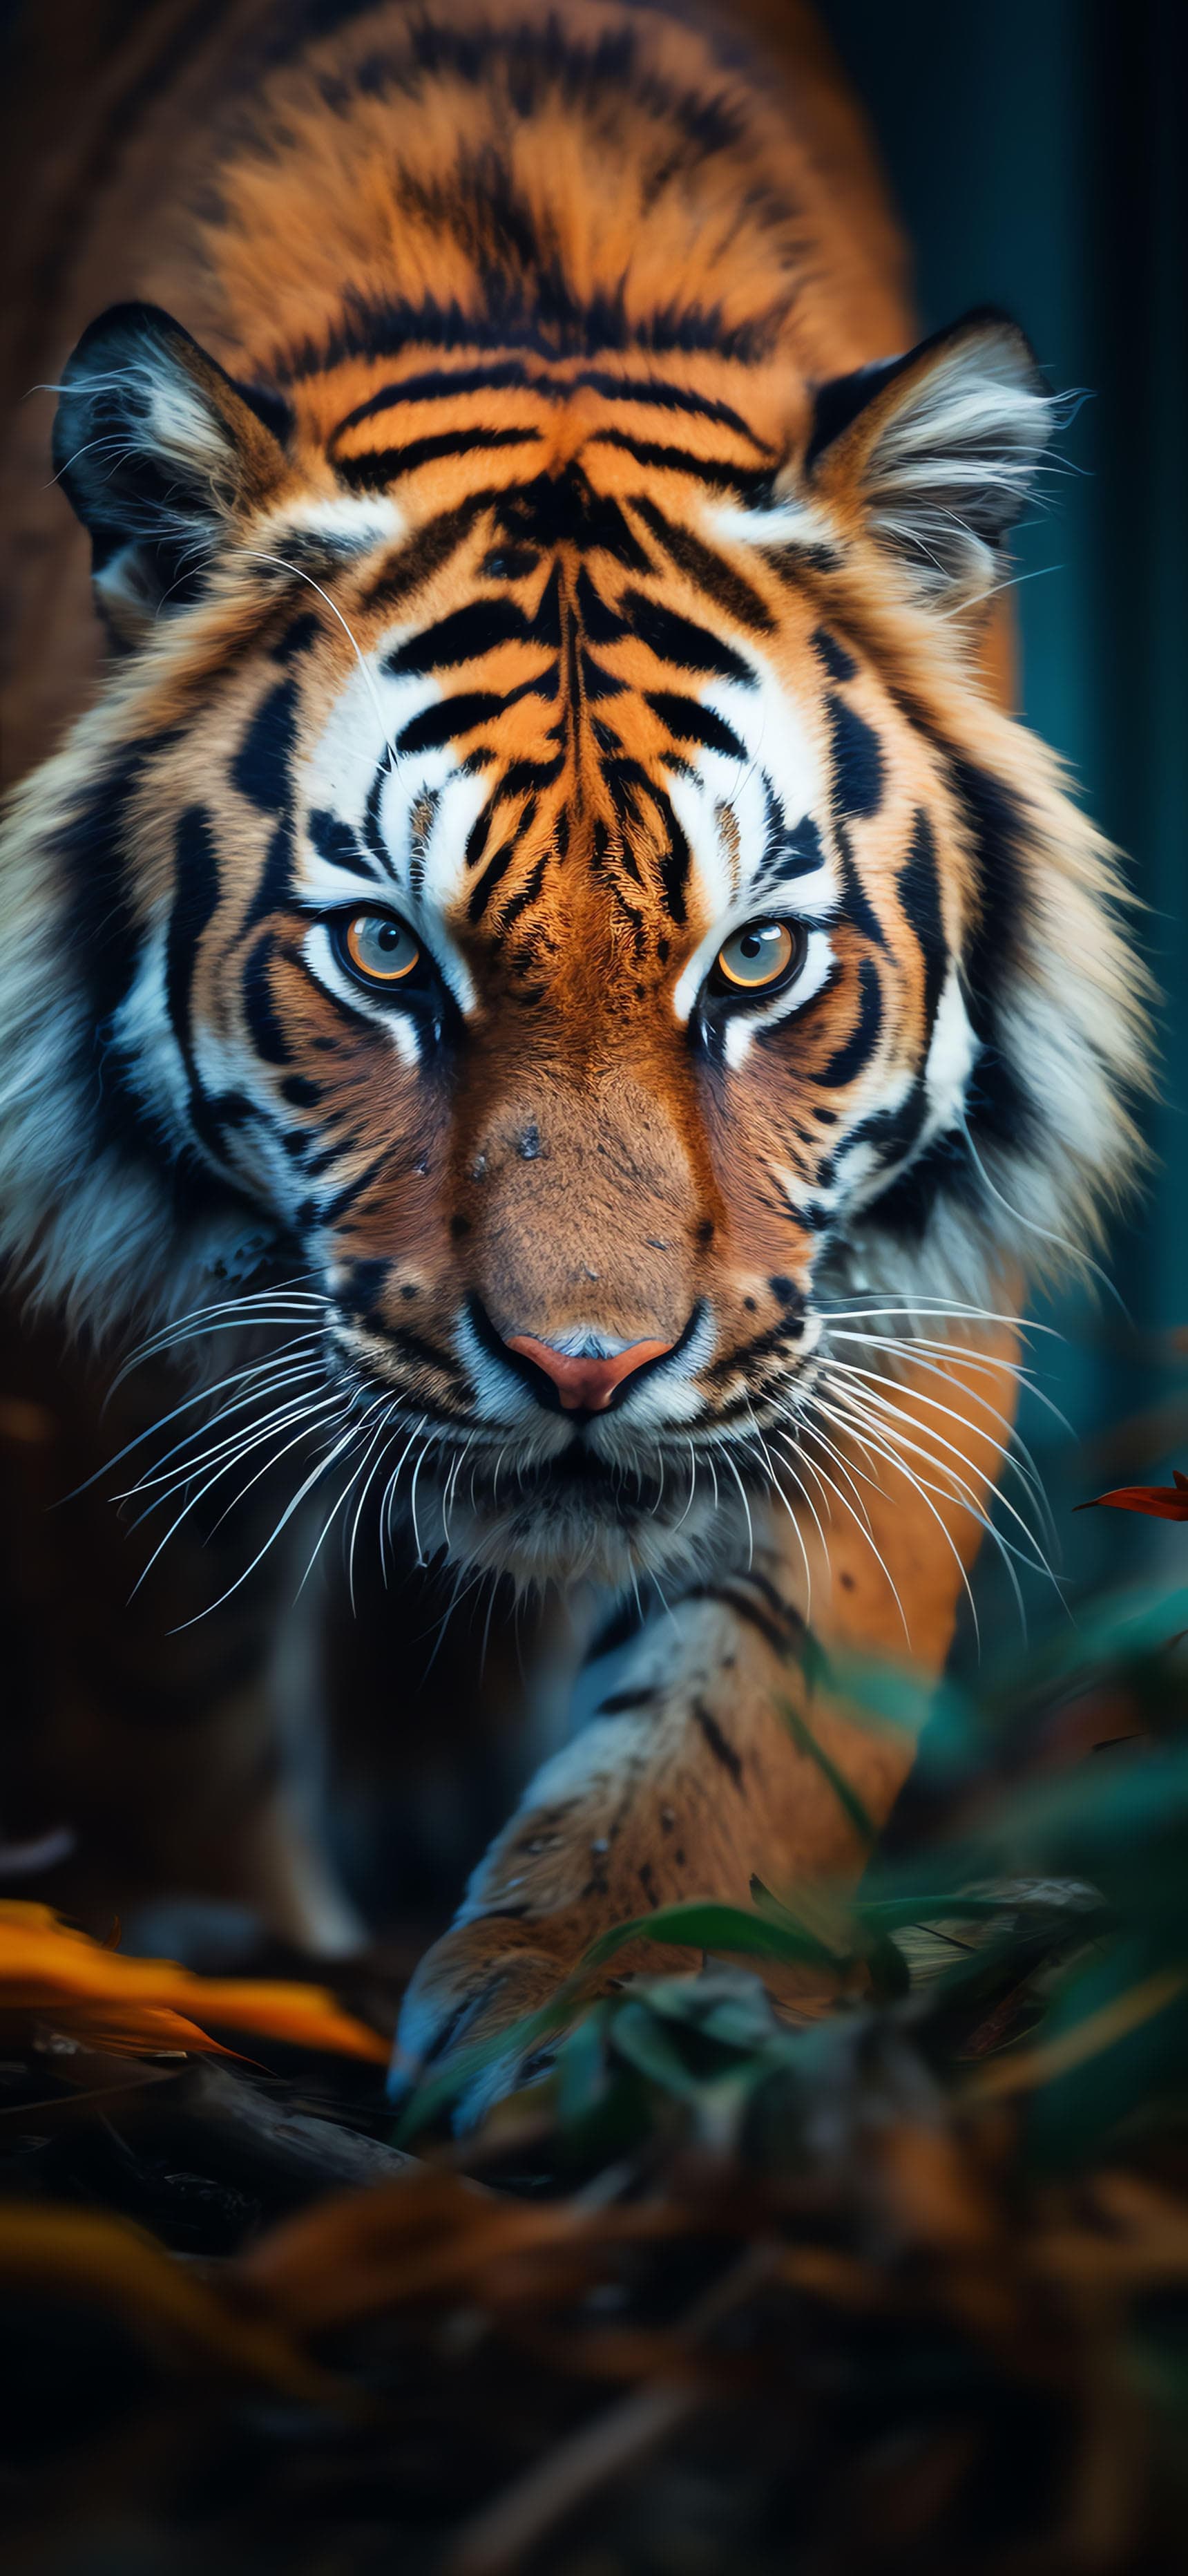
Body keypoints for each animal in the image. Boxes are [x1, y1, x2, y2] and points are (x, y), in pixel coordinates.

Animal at [0, 0, 1147, 2119]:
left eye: (756, 960)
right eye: (385, 950)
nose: (585, 1372)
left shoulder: (887, 1280)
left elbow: (770, 1682)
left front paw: (615, 1995)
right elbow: (162, 1648)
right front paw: (190, 1952)